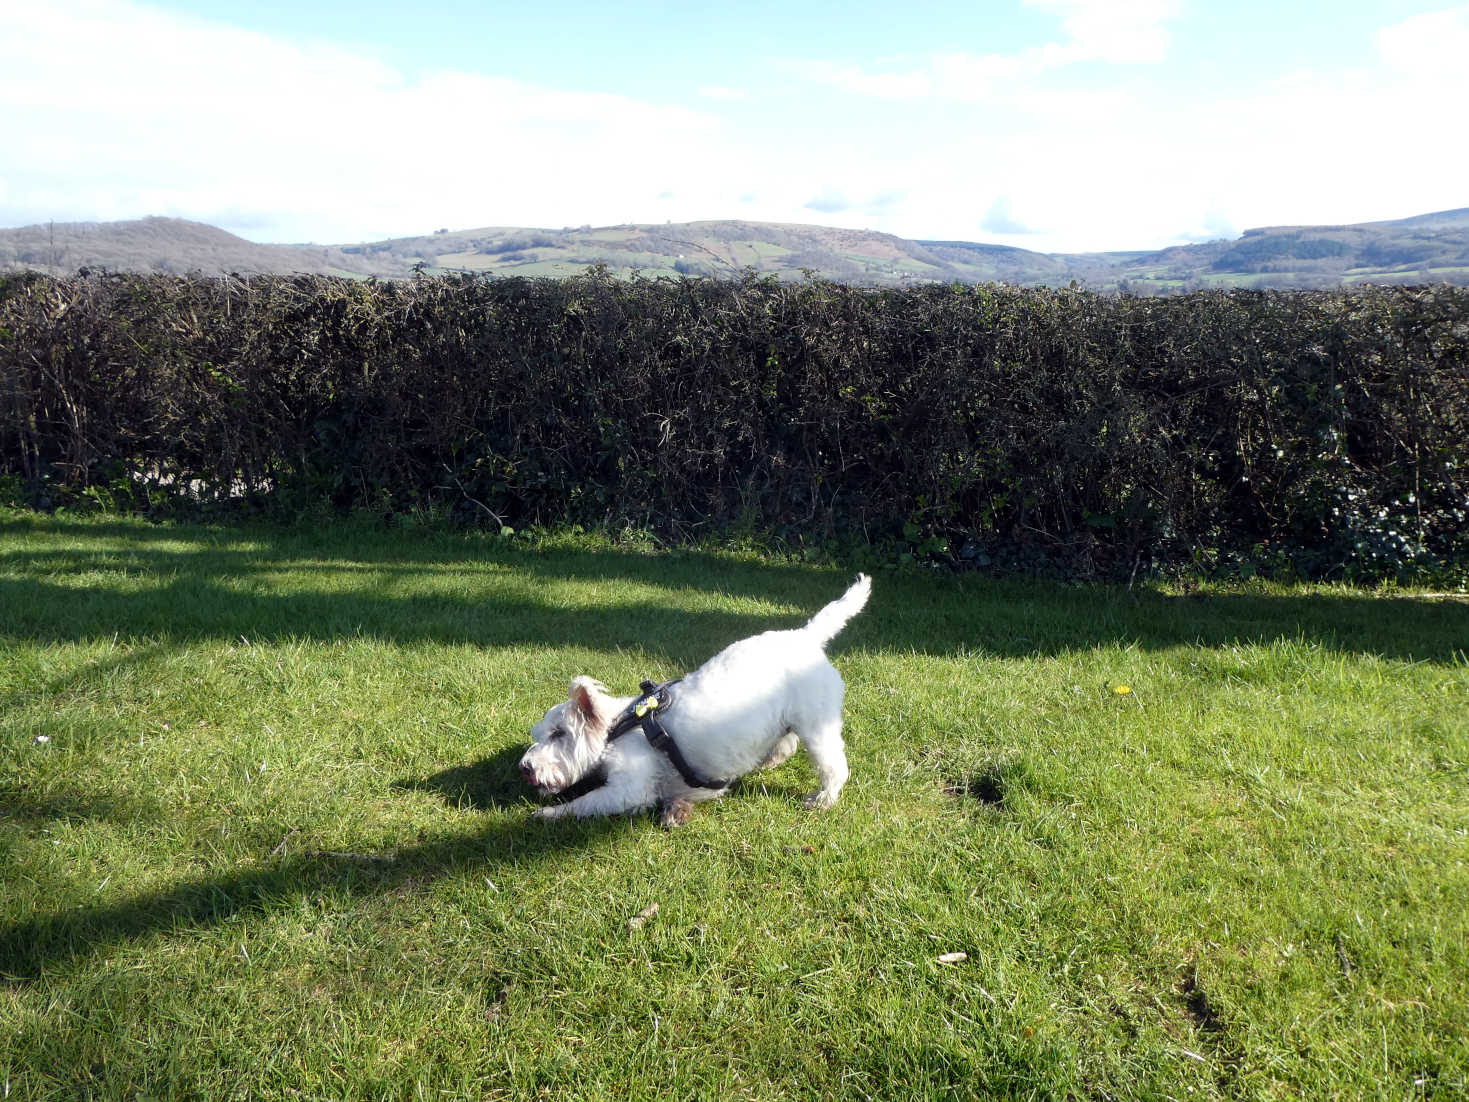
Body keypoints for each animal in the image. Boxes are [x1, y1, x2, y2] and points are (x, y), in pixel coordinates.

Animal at [522, 578, 863, 828]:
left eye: (559, 734)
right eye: (538, 735)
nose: (525, 767)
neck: (619, 726)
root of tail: (806, 637)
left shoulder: (627, 789)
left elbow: (584, 803)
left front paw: (549, 814)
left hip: (817, 727)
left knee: (834, 766)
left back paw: (823, 799)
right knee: (787, 743)